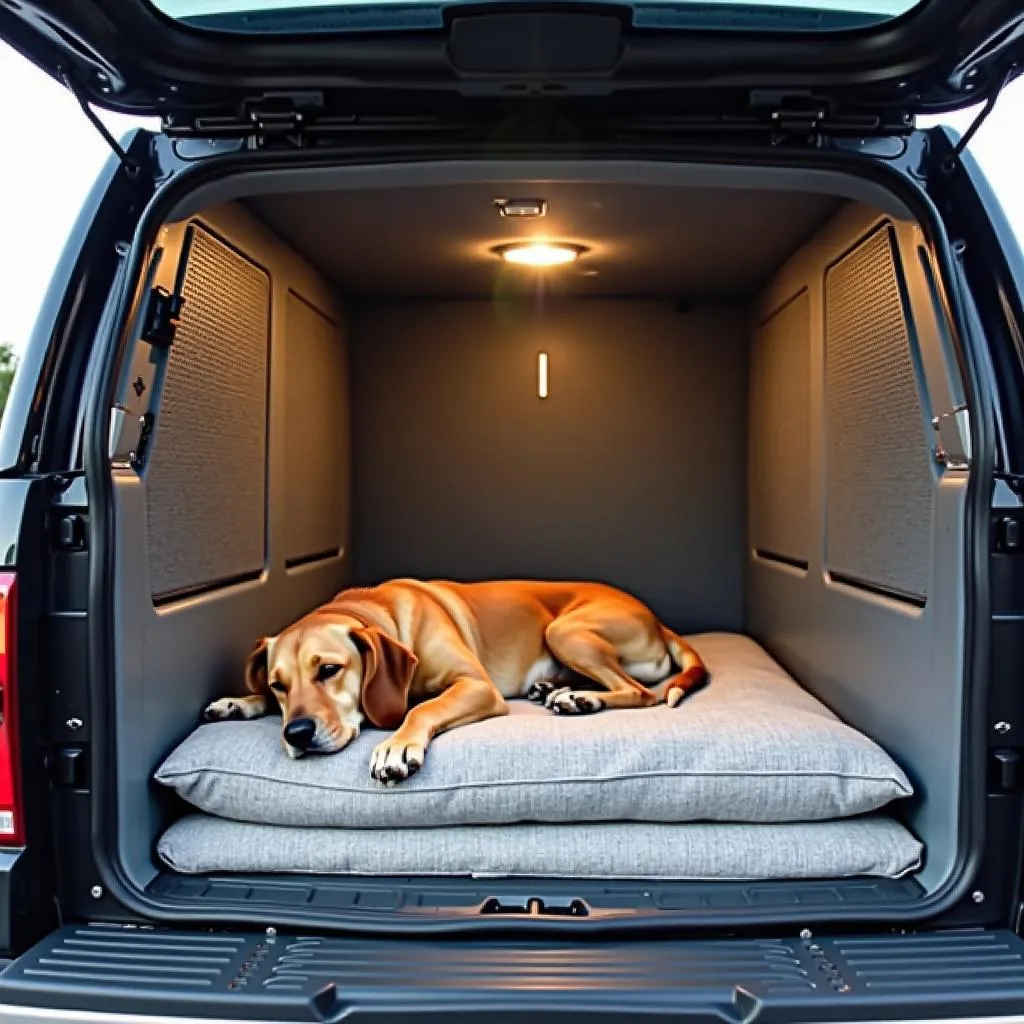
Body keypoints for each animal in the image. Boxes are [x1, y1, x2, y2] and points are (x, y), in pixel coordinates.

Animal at [203, 577, 708, 782]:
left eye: (328, 669)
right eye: (278, 686)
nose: (297, 733)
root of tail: (657, 621)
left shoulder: (475, 685)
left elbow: (425, 707)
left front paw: (396, 746)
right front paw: (240, 702)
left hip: (564, 630)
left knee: (641, 692)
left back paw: (582, 698)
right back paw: (557, 688)